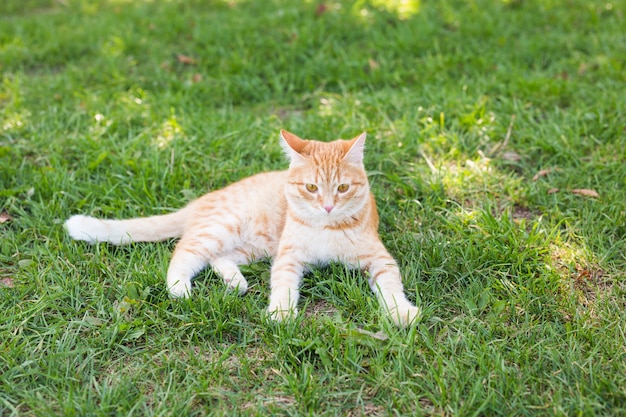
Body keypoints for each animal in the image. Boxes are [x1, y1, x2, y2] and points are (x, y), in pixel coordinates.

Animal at [64, 130, 420, 324]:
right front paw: (281, 313)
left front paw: (400, 312)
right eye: (311, 188)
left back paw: (235, 282)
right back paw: (180, 288)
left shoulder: (378, 258)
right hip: (224, 228)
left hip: (255, 246)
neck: (326, 226)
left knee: (217, 259)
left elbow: (391, 285)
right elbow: (283, 286)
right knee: (184, 253)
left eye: (343, 188)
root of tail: (203, 200)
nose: (328, 205)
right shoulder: (288, 258)